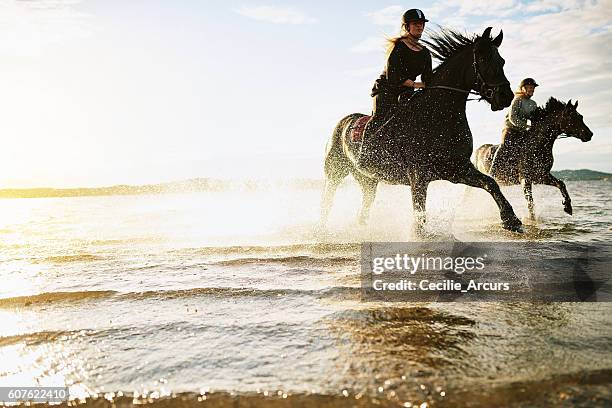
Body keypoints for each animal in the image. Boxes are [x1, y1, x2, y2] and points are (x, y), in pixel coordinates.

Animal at [320, 27, 520, 233]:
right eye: (484, 59)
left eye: (502, 61)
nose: (506, 96)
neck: (436, 115)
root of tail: (343, 122)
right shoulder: (418, 176)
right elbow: (420, 217)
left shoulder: (457, 169)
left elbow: (491, 183)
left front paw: (511, 219)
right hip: (335, 172)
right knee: (327, 200)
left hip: (368, 180)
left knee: (364, 207)